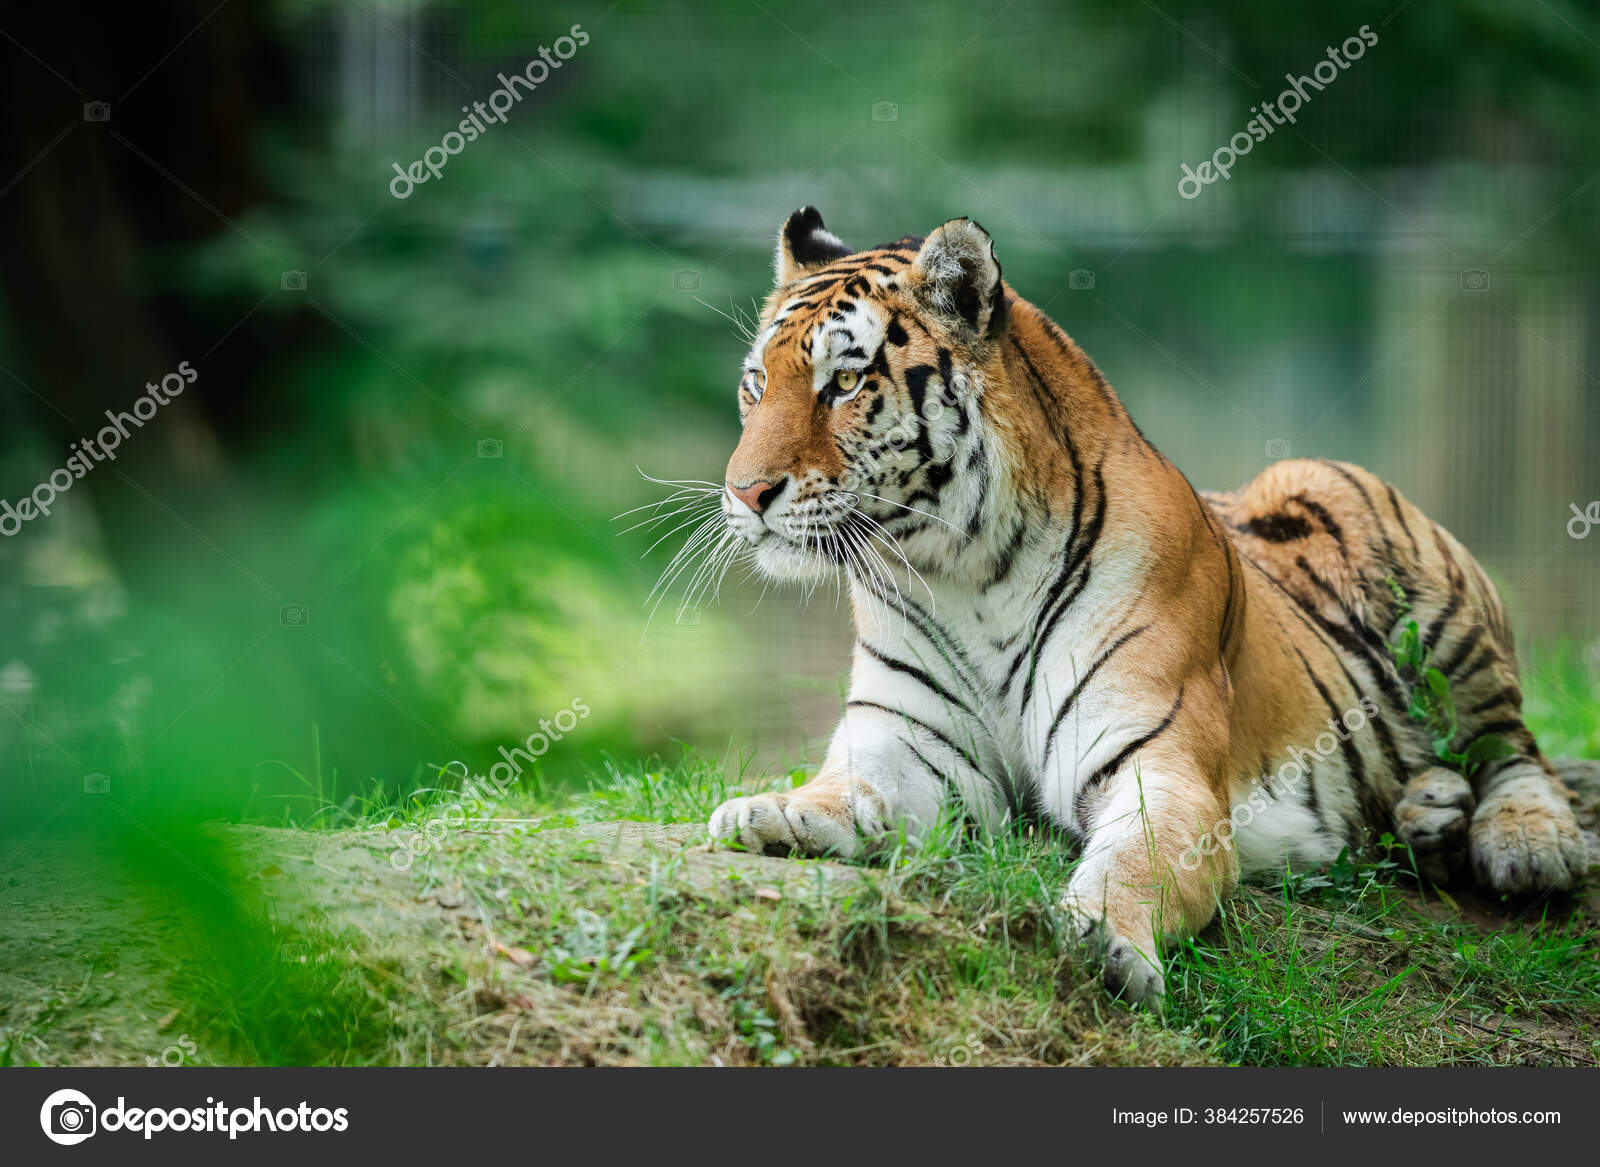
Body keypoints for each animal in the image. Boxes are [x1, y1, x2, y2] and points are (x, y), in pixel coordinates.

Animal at [701, 207, 1589, 1008]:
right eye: (757, 382)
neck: (965, 572)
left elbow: (1136, 863)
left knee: (1514, 747)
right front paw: (775, 810)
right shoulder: (907, 741)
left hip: (1421, 590)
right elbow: (845, 787)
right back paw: (1428, 812)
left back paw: (1526, 841)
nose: (744, 492)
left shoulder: (1155, 765)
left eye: (846, 382)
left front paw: (1100, 939)